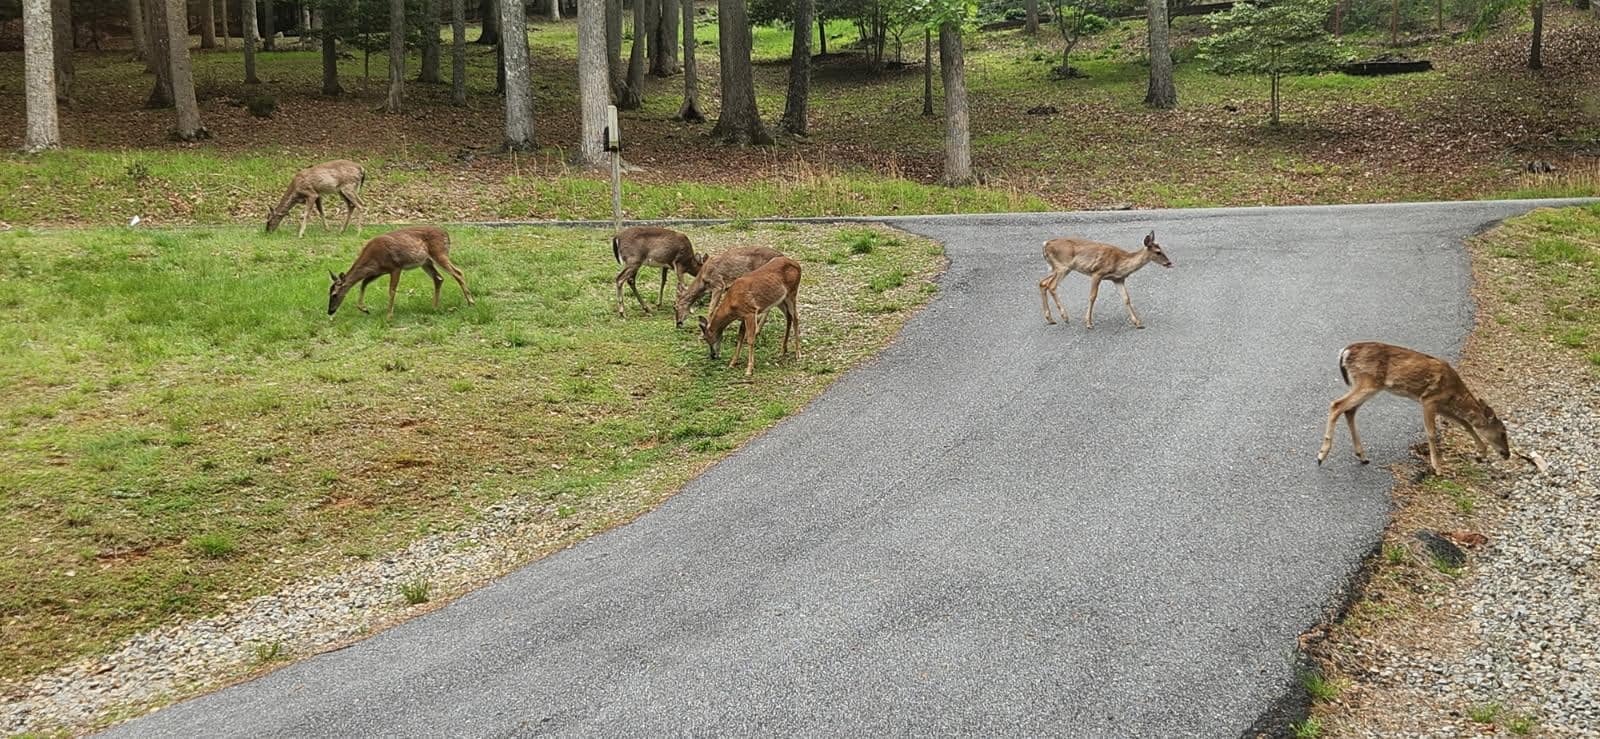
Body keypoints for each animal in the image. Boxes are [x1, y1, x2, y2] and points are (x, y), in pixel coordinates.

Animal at [327, 226, 473, 319]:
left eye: (334, 294)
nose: (329, 311)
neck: (373, 259)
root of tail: (446, 234)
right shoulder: (379, 271)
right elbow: (364, 283)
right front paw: (364, 309)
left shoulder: (395, 267)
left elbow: (391, 290)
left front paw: (389, 315)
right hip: (426, 262)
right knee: (439, 278)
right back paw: (434, 307)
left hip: (439, 253)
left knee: (458, 272)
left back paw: (471, 302)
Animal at [1038, 230, 1173, 328]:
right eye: (1158, 252)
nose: (1169, 263)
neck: (1119, 263)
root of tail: (1045, 244)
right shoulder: (1097, 272)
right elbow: (1092, 296)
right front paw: (1088, 323)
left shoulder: (1118, 279)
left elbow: (1126, 298)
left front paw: (1138, 322)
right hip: (1063, 266)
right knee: (1051, 286)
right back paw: (1065, 317)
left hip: (1055, 268)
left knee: (1042, 283)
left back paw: (1050, 319)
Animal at [1315, 341, 1530, 476]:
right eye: (1502, 432)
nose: (1507, 454)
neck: (1454, 390)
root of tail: (1344, 352)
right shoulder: (1429, 400)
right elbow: (1432, 433)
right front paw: (1438, 468)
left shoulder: (1443, 405)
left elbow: (1465, 423)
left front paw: (1481, 453)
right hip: (1367, 382)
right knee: (1336, 405)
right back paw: (1321, 455)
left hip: (1367, 385)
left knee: (1349, 410)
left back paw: (1362, 456)